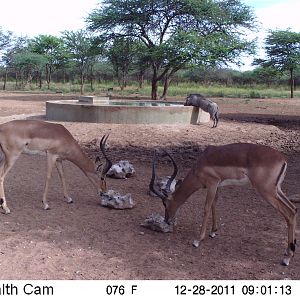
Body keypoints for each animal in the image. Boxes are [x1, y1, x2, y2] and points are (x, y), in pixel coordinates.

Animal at [150, 144, 298, 266]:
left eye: (164, 203)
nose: (167, 220)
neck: (200, 165)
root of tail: (282, 159)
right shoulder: (218, 186)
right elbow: (214, 204)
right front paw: (213, 232)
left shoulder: (212, 184)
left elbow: (206, 208)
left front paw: (198, 240)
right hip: (277, 190)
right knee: (294, 209)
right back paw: (288, 252)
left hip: (267, 191)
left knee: (289, 213)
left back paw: (287, 258)